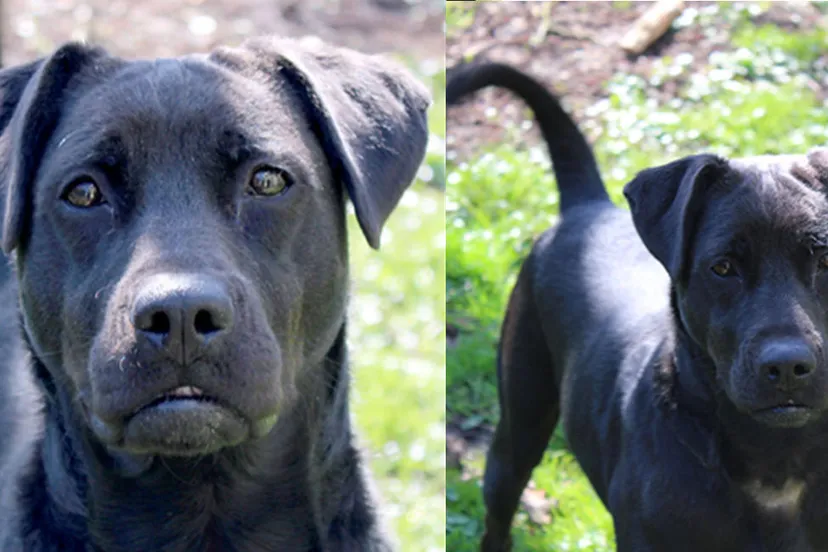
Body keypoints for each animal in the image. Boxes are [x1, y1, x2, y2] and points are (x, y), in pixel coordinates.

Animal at [450, 61, 828, 552]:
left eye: (825, 258)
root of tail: (587, 206)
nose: (786, 367)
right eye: (723, 267)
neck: (777, 465)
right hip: (517, 431)